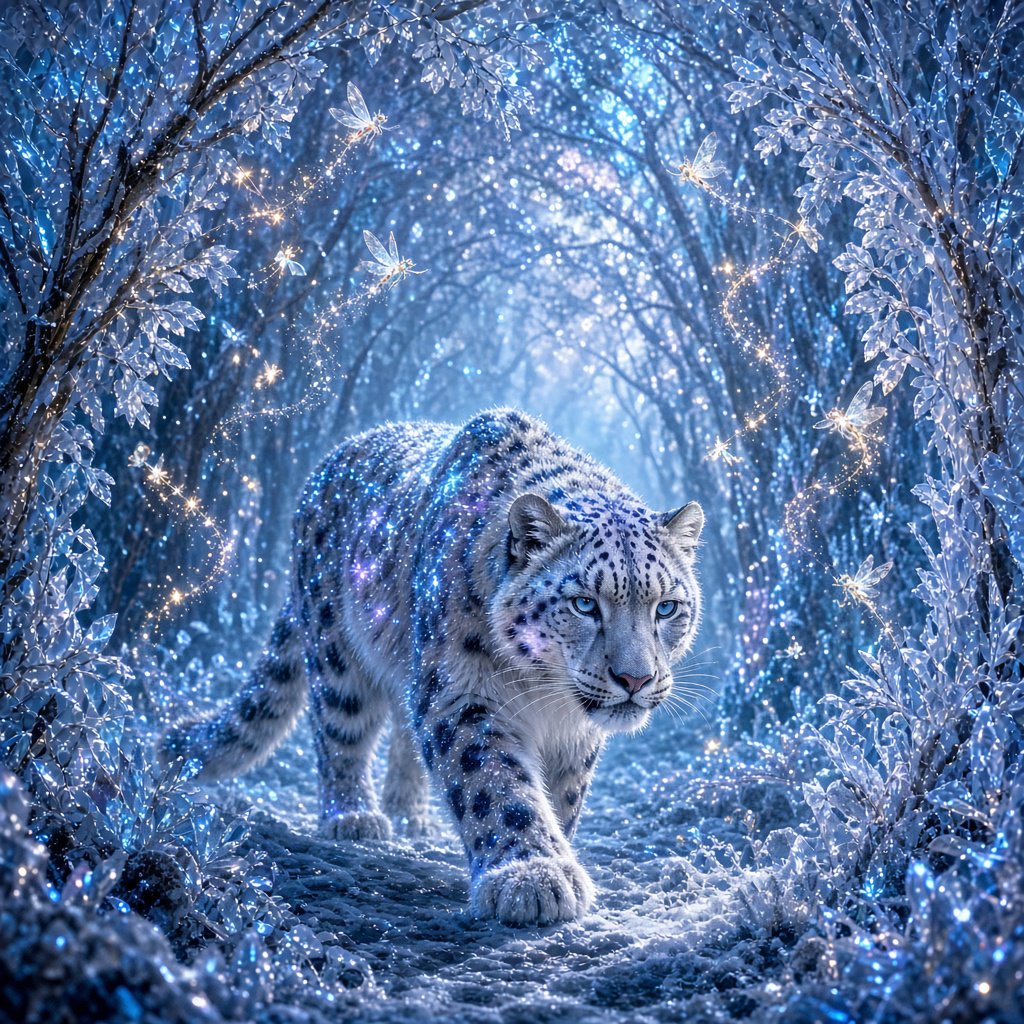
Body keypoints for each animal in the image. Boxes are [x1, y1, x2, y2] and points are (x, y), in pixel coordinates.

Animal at [160, 408, 703, 926]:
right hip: (337, 652)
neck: (545, 694)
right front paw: (532, 876)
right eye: (585, 604)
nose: (635, 679)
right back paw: (354, 817)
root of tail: (324, 468)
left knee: (402, 733)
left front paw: (555, 852)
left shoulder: (575, 733)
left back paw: (409, 813)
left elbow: (563, 796)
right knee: (340, 732)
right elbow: (495, 782)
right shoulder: (460, 692)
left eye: (666, 607)